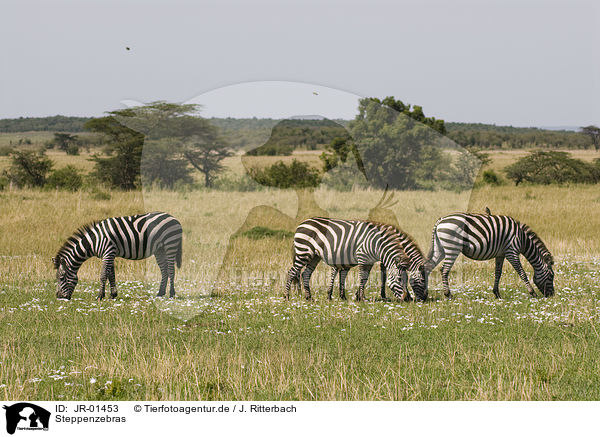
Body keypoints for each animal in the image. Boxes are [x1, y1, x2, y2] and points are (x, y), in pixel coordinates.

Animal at [51, 212, 183, 300]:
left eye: (61, 278)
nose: (58, 297)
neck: (94, 241)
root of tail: (174, 218)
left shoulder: (108, 252)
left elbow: (103, 275)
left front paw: (100, 296)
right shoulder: (111, 254)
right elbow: (111, 275)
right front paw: (113, 295)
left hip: (170, 244)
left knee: (171, 270)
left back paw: (171, 294)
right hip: (160, 250)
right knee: (164, 270)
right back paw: (160, 293)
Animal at [284, 217, 426, 300]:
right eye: (400, 279)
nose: (408, 299)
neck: (378, 245)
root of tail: (302, 223)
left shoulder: (371, 261)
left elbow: (367, 277)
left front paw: (359, 296)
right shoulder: (364, 257)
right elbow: (365, 277)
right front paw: (363, 298)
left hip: (314, 256)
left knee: (305, 273)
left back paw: (309, 297)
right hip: (304, 252)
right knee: (291, 272)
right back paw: (286, 296)